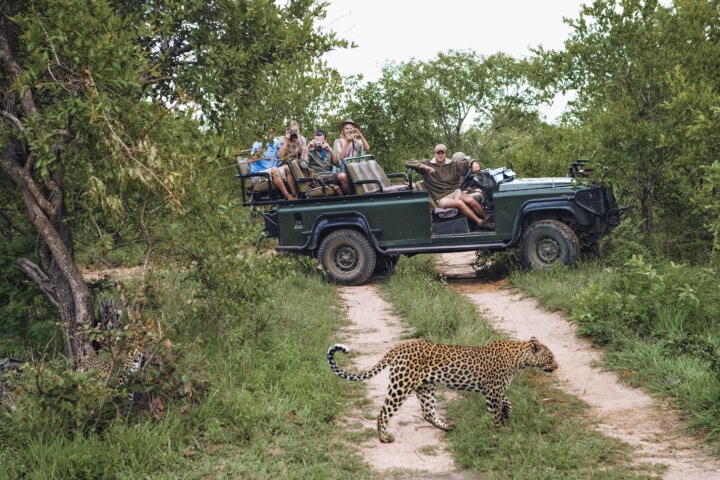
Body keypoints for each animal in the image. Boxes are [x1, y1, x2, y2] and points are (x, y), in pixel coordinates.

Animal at [327, 337, 558, 443]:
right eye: (550, 357)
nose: (556, 366)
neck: (519, 358)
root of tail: (397, 348)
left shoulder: (492, 391)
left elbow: (507, 402)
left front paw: (507, 413)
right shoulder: (493, 391)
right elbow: (496, 412)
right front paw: (500, 430)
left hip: (426, 387)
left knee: (428, 412)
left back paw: (447, 427)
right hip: (402, 385)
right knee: (383, 412)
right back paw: (384, 438)